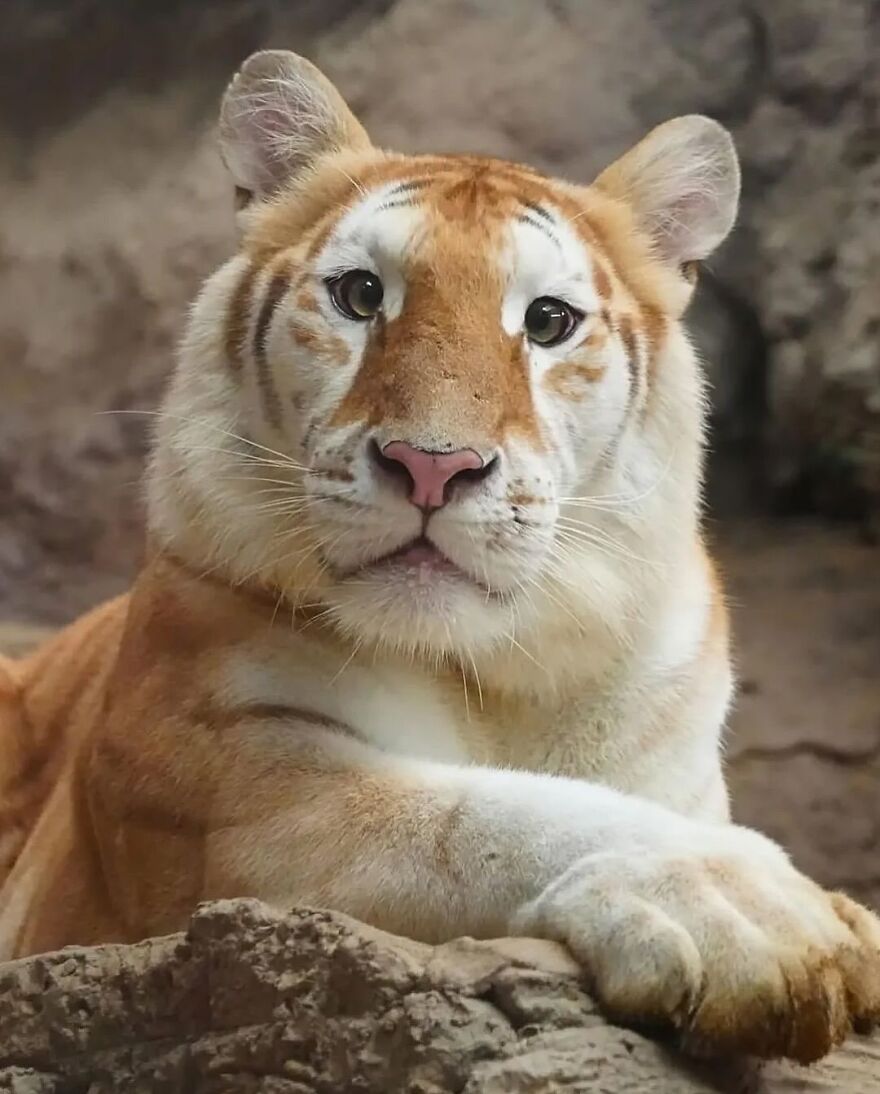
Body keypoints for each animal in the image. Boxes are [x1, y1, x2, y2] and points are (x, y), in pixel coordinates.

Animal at [0, 49, 878, 1064]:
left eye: (548, 320)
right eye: (360, 296)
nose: (432, 465)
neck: (499, 673)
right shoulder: (226, 787)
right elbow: (485, 815)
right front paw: (754, 915)